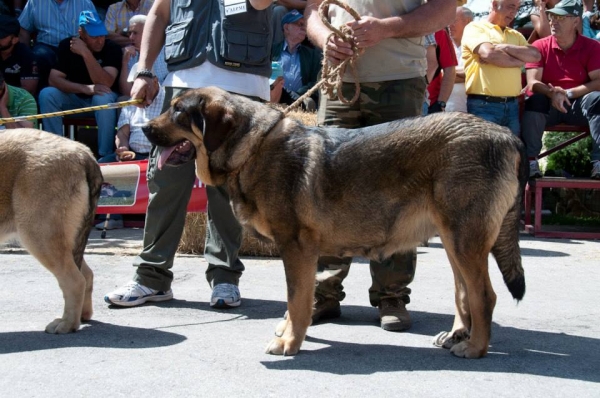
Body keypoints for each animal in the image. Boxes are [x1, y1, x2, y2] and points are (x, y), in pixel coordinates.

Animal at [0, 128, 102, 332]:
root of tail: (84, 153)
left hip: (40, 235)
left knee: (75, 280)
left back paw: (66, 324)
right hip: (64, 240)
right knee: (86, 275)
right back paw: (82, 316)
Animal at [143, 88, 528, 360]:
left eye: (178, 110)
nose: (145, 128)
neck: (251, 148)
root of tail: (507, 135)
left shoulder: (295, 248)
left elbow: (297, 300)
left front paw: (290, 342)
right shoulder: (302, 255)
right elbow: (298, 299)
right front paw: (289, 332)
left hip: (464, 241)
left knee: (483, 296)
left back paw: (475, 348)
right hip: (453, 241)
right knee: (463, 294)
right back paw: (457, 335)